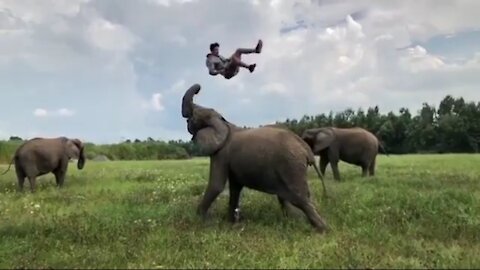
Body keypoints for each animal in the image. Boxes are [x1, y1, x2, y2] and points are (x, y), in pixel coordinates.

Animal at [182, 83, 328, 233]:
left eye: (194, 116)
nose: (199, 88)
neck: (223, 122)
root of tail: (305, 148)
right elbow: (235, 188)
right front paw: (231, 224)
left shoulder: (221, 154)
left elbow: (216, 185)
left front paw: (198, 219)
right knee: (289, 199)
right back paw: (294, 222)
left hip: (291, 166)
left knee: (301, 199)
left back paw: (322, 230)